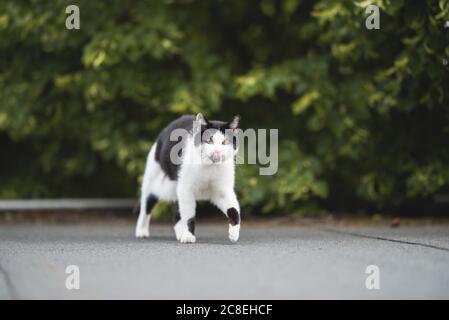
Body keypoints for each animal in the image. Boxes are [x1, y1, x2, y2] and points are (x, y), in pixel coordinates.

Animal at [136, 114, 242, 244]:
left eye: (225, 142)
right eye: (209, 140)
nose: (216, 152)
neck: (209, 168)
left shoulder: (223, 191)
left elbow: (234, 209)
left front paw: (234, 233)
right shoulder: (186, 190)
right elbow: (188, 215)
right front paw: (188, 236)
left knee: (176, 211)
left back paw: (179, 232)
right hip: (155, 182)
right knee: (146, 204)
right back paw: (141, 231)